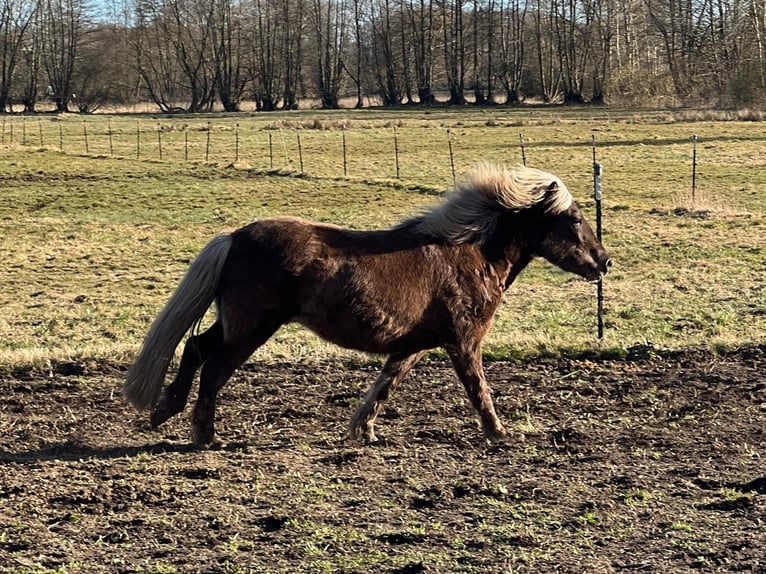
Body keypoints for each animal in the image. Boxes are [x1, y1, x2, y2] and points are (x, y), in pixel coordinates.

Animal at [124, 163, 611, 448]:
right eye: (573, 219)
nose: (604, 261)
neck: (467, 253)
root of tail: (235, 236)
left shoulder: (413, 346)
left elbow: (384, 387)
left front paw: (363, 430)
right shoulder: (463, 341)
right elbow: (479, 389)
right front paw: (499, 434)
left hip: (236, 325)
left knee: (195, 350)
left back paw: (165, 411)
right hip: (252, 328)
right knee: (212, 368)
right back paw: (203, 434)